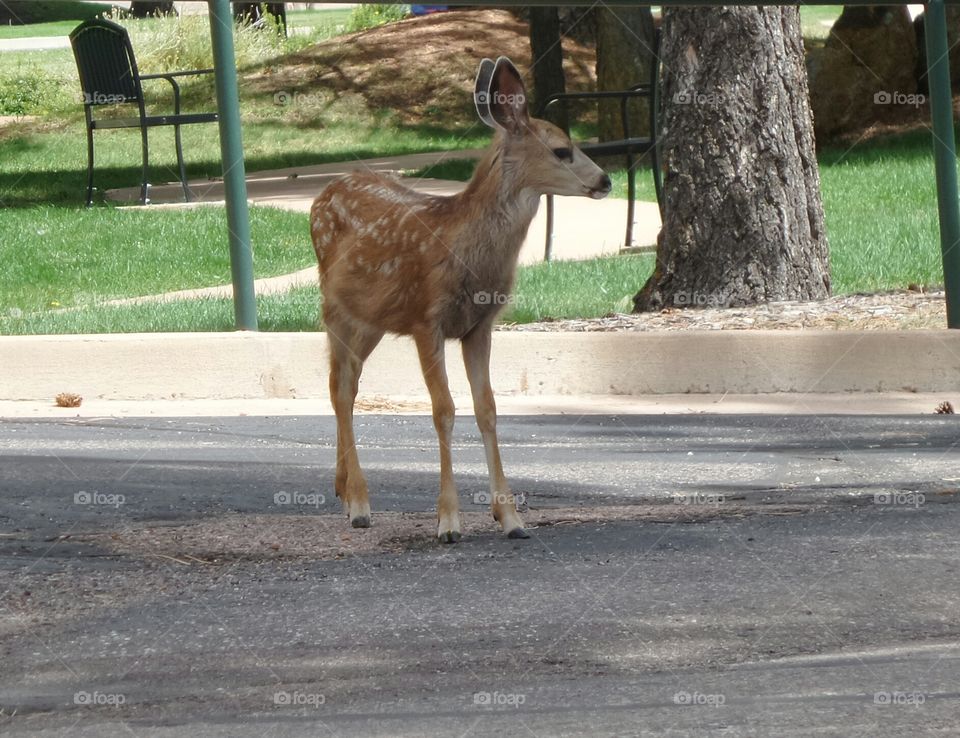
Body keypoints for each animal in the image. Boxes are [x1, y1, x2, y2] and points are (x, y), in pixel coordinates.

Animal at [310, 57, 611, 543]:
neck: (465, 247)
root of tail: (323, 194)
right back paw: (358, 503)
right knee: (339, 386)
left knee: (349, 383)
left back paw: (342, 489)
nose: (606, 179)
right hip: (335, 308)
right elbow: (444, 410)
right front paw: (448, 522)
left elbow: (487, 409)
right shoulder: (426, 320)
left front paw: (510, 518)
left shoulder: (479, 325)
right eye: (562, 150)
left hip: (372, 319)